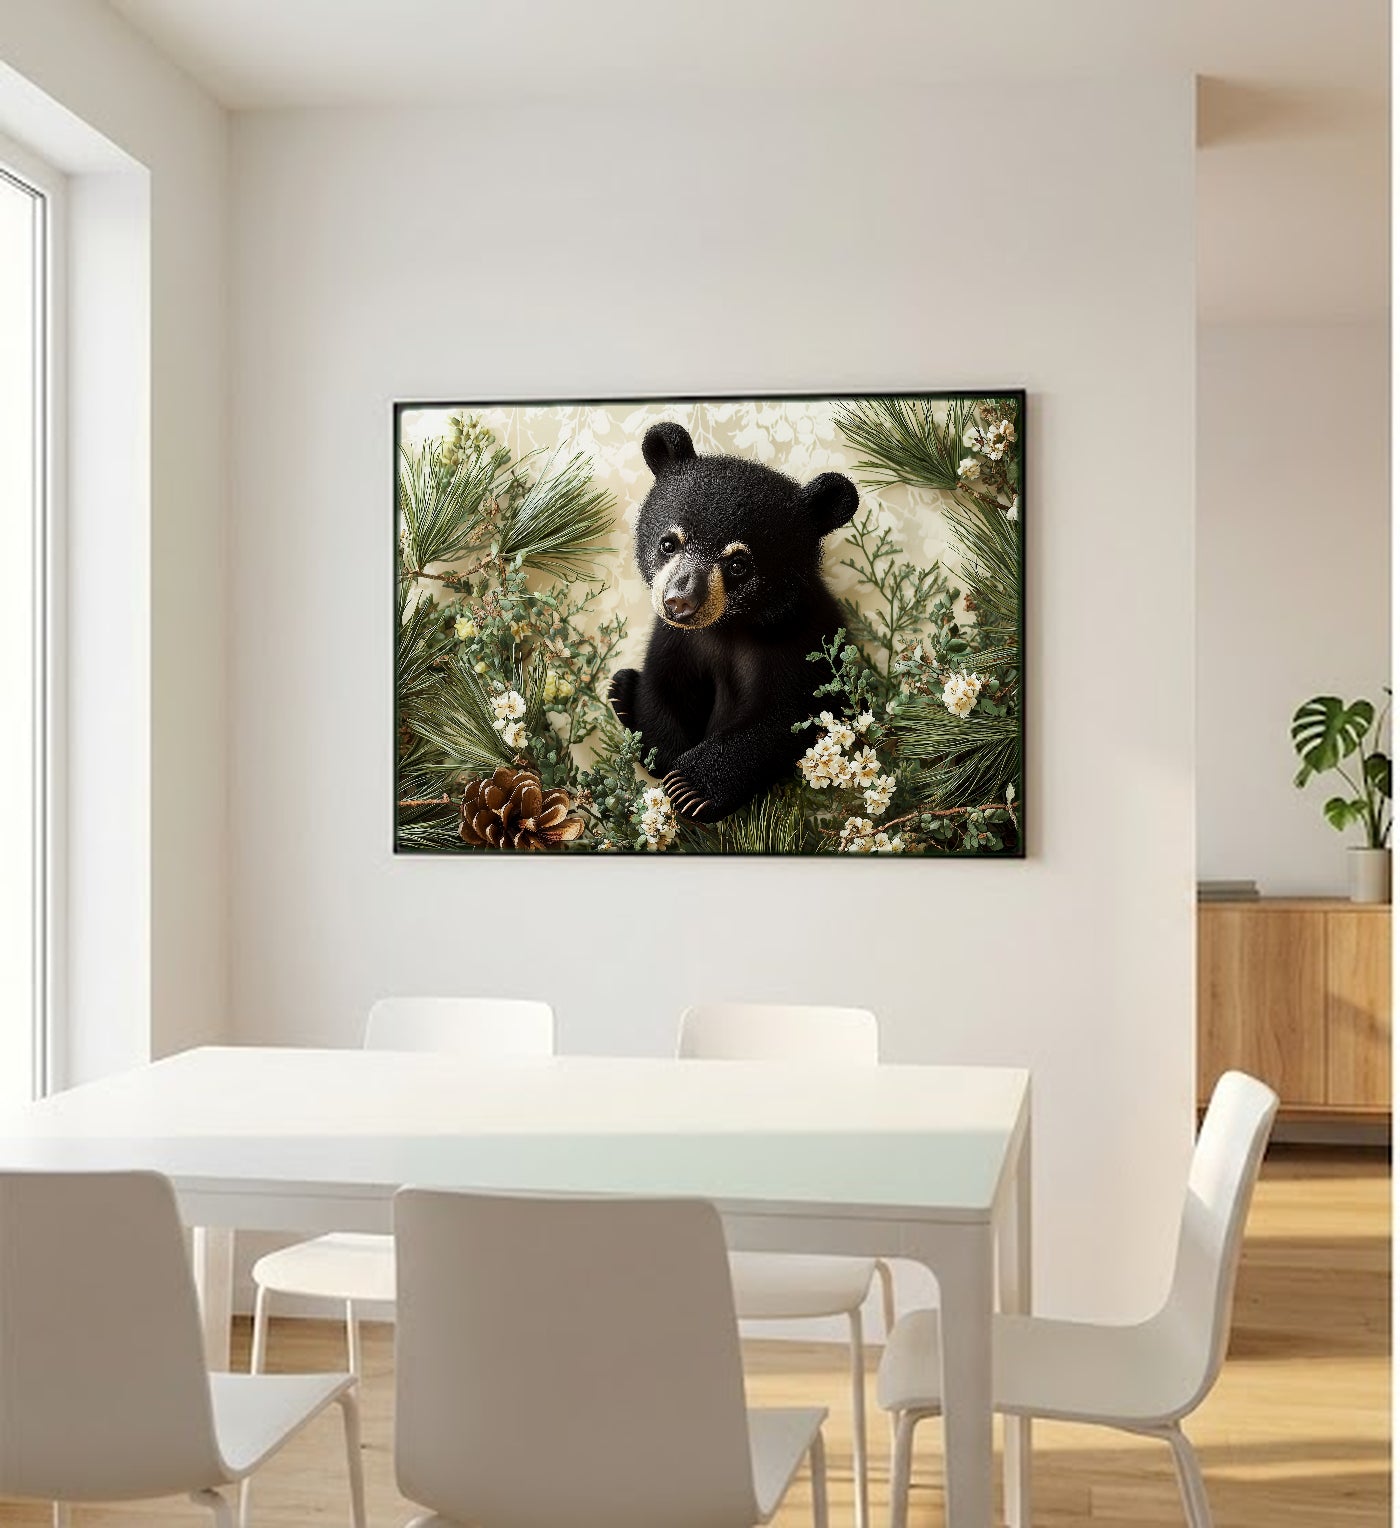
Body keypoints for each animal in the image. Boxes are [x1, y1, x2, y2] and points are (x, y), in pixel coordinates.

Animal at [608, 420, 860, 823]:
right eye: (668, 543)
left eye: (738, 565)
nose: (680, 602)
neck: (727, 627)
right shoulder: (676, 638)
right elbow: (662, 688)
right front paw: (664, 757)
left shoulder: (799, 640)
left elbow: (781, 717)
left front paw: (691, 787)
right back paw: (621, 690)